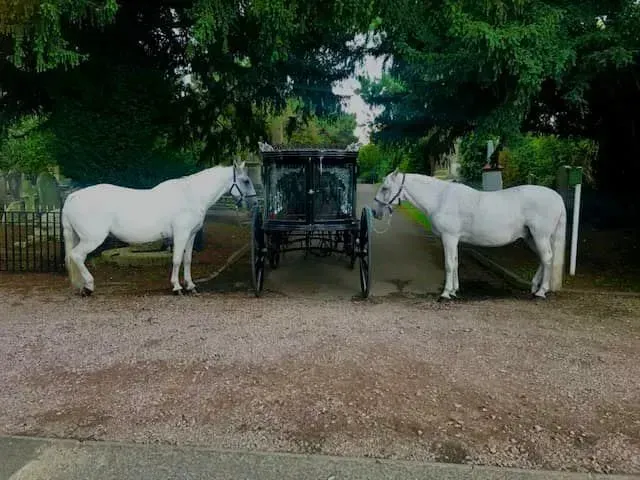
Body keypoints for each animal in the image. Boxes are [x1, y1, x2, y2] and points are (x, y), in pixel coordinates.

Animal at [61, 160, 257, 296]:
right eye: (246, 181)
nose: (255, 203)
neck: (191, 195)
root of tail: (72, 197)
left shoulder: (191, 235)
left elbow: (187, 260)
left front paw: (190, 286)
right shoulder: (181, 234)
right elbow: (177, 259)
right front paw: (177, 287)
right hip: (92, 239)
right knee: (77, 256)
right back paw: (89, 286)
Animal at [371, 169, 567, 300]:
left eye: (385, 188)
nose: (375, 212)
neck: (440, 198)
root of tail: (557, 197)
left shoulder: (449, 237)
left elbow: (449, 264)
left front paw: (445, 294)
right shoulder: (454, 239)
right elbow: (456, 262)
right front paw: (454, 290)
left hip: (540, 236)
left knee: (547, 258)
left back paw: (541, 292)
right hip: (531, 237)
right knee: (543, 258)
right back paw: (534, 287)